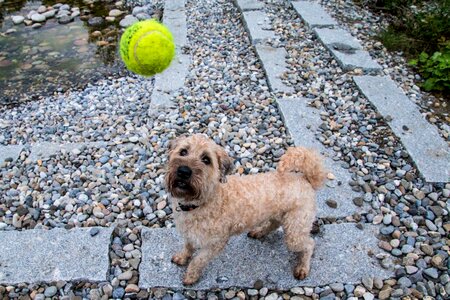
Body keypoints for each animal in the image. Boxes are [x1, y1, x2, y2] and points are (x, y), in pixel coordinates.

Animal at [165, 134, 326, 286]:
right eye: (183, 151)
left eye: (206, 159)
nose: (184, 171)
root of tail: (305, 179)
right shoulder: (189, 234)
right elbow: (188, 248)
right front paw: (182, 257)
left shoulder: (216, 243)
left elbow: (198, 260)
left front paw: (191, 276)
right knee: (274, 224)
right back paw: (259, 232)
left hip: (295, 231)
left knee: (309, 244)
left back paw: (302, 267)